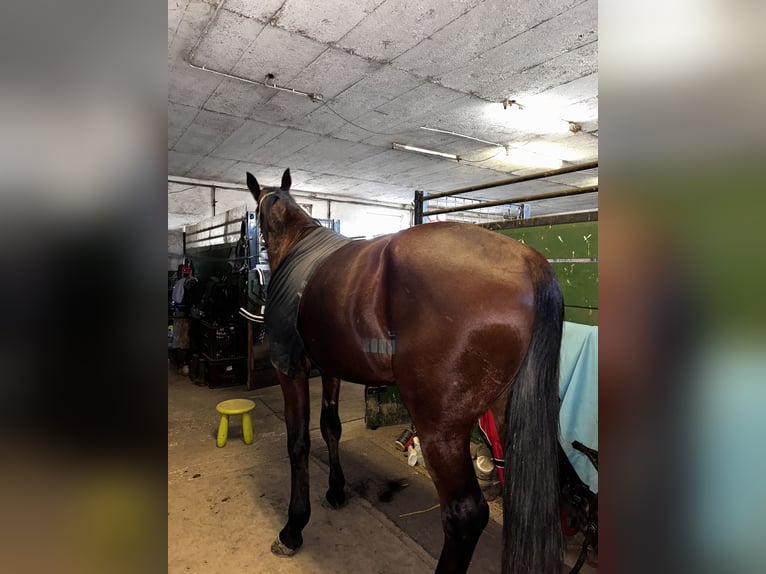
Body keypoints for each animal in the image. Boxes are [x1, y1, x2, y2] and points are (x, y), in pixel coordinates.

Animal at [246, 168, 564, 574]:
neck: (296, 243)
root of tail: (528, 261)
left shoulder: (290, 371)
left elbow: (298, 442)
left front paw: (293, 528)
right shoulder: (330, 369)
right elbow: (330, 427)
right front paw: (335, 490)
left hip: (440, 430)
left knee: (465, 515)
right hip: (507, 415)